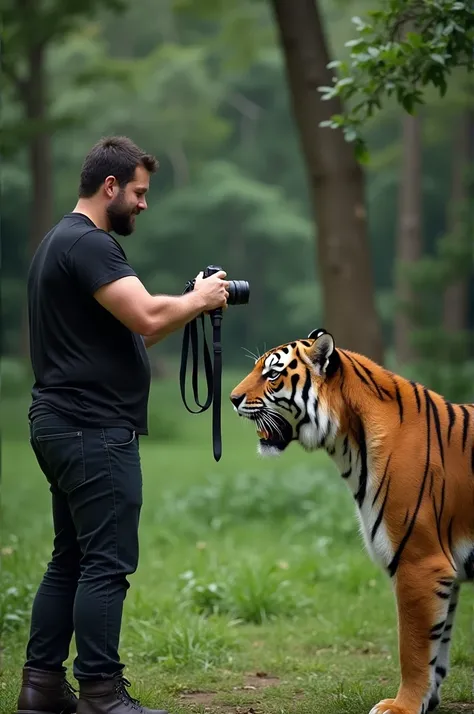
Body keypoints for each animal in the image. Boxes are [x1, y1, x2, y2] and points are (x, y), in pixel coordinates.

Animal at [228, 326, 472, 712]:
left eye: (272, 374)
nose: (232, 399)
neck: (350, 446)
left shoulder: (420, 561)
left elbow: (415, 648)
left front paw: (401, 706)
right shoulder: (444, 569)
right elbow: (439, 642)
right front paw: (426, 701)